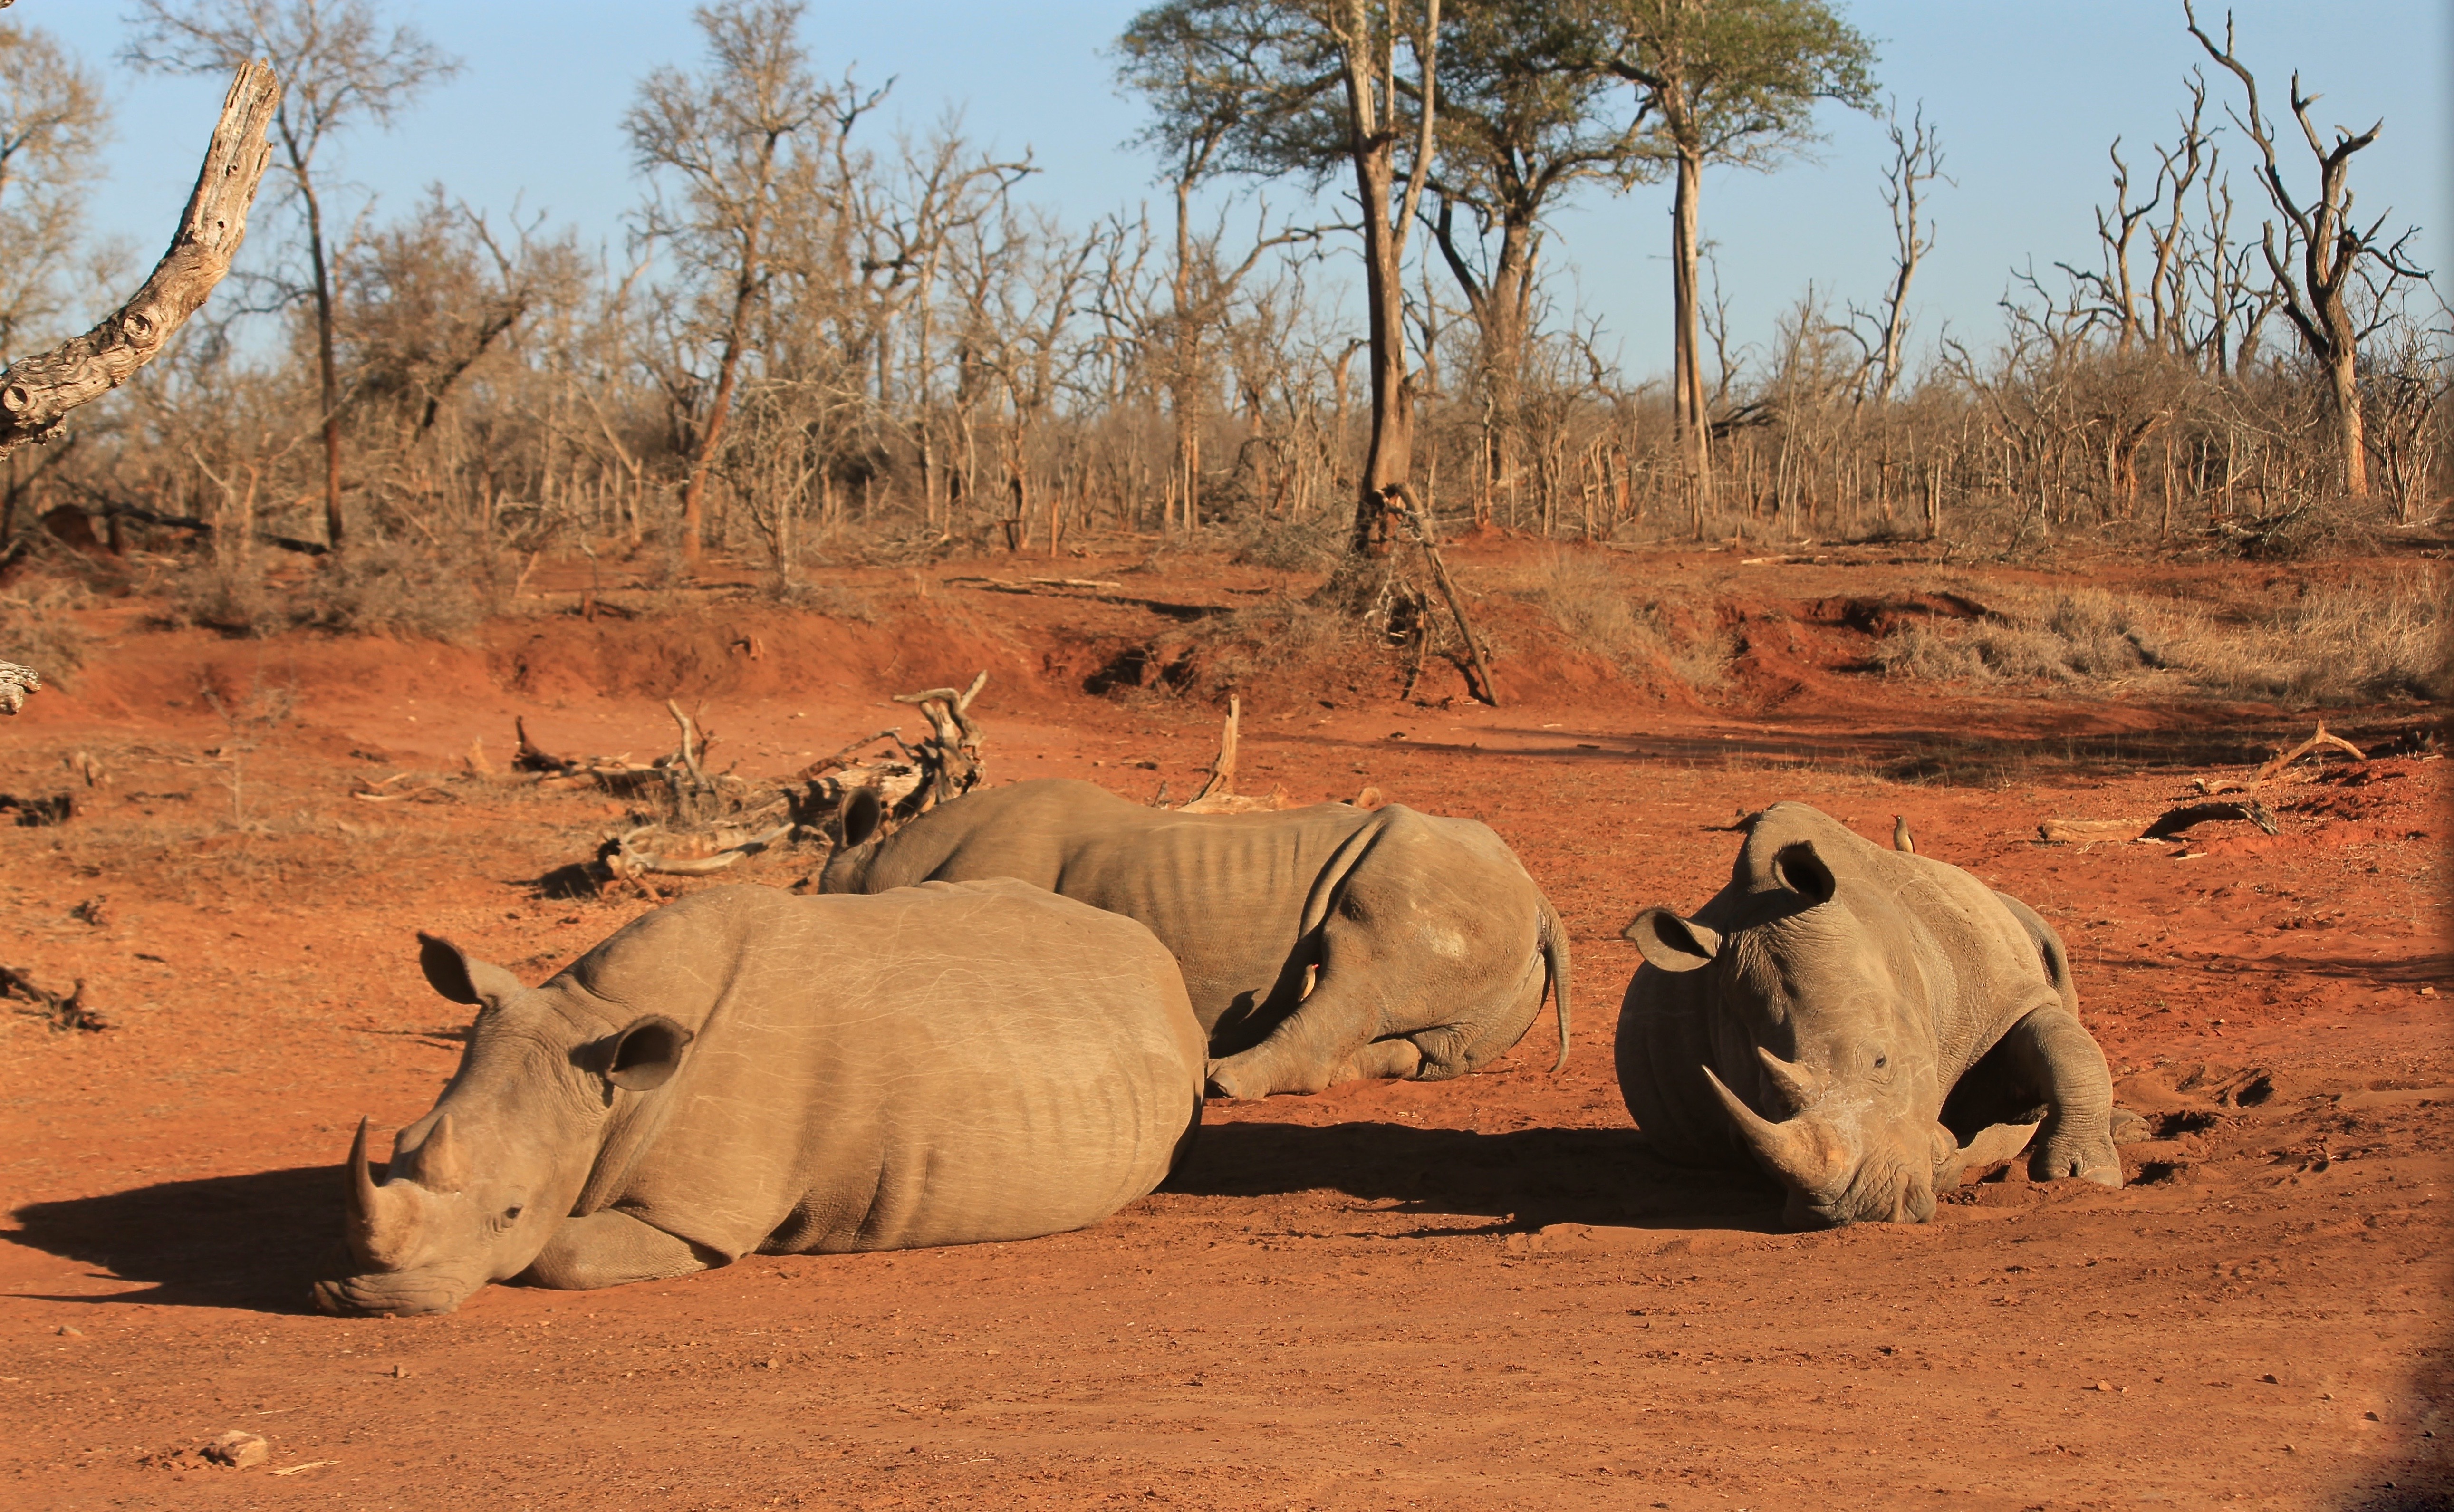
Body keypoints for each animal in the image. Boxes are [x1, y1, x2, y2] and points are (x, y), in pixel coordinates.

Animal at [313, 879, 1204, 1315]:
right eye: (396, 1149)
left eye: (511, 1212)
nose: (367, 1301)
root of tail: (1155, 954)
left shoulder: (697, 1212)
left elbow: (560, 1252)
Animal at [819, 778, 1570, 1100]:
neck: (882, 868)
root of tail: (1541, 901)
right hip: (1485, 924)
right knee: (1411, 1042)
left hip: (1443, 894)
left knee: (1359, 969)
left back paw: (1221, 1081)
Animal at [1615, 801, 2121, 1227]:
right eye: (1767, 1097)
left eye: (1881, 1062)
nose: (1860, 1208)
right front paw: (1941, 1154)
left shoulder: (2001, 995)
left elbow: (2066, 1048)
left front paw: (2084, 1174)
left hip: (2019, 916)